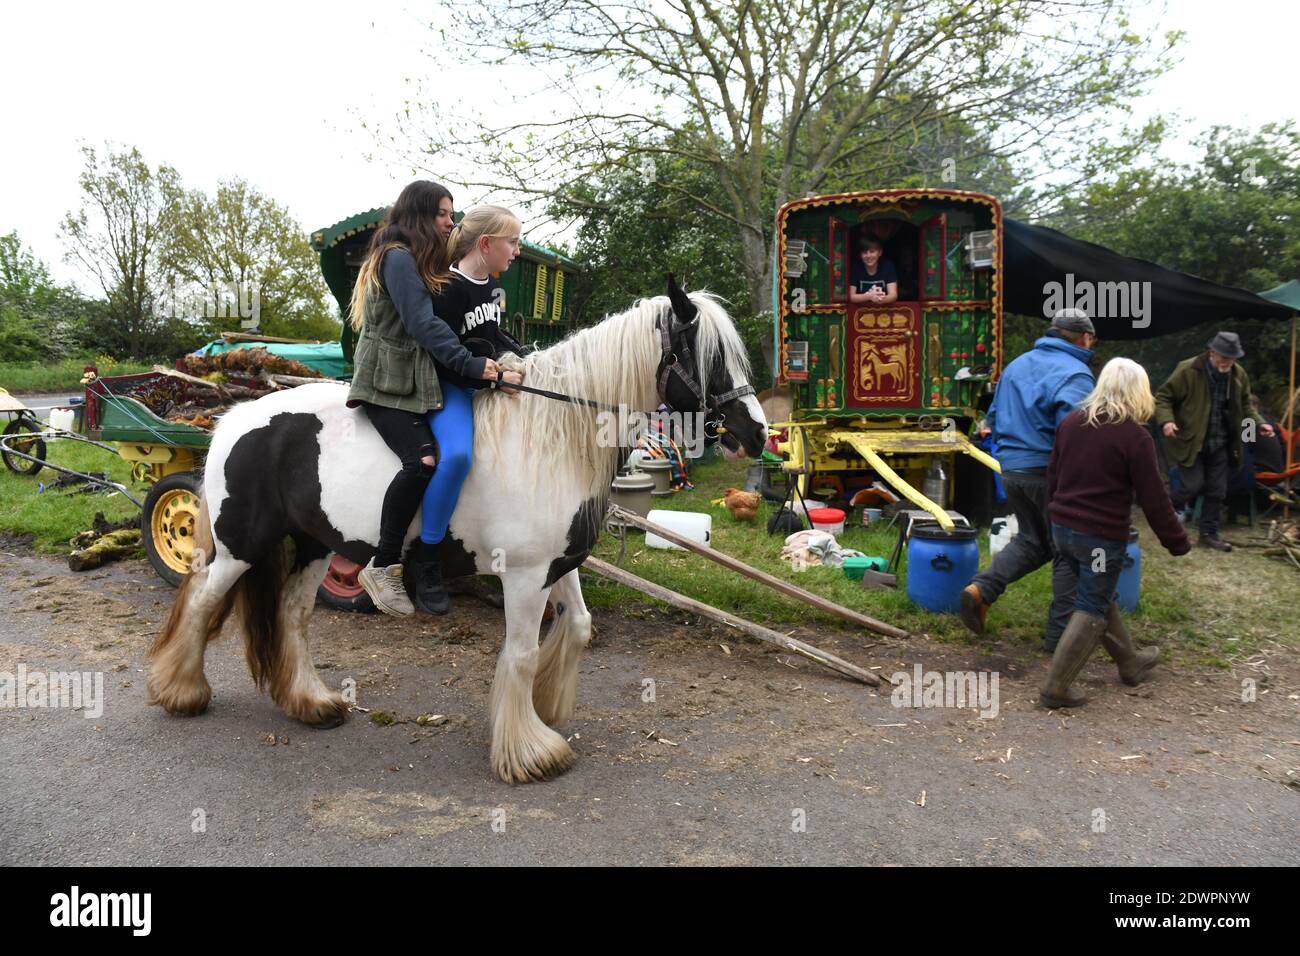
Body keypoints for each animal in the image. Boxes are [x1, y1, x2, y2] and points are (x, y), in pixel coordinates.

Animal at [147, 278, 764, 785]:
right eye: (709, 356)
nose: (757, 434)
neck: (552, 437)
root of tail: (233, 420)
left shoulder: (556, 565)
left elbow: (579, 627)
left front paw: (546, 709)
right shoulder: (524, 575)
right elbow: (520, 654)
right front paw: (530, 753)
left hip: (316, 546)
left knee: (293, 615)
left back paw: (311, 703)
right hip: (240, 548)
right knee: (201, 604)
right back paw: (181, 692)